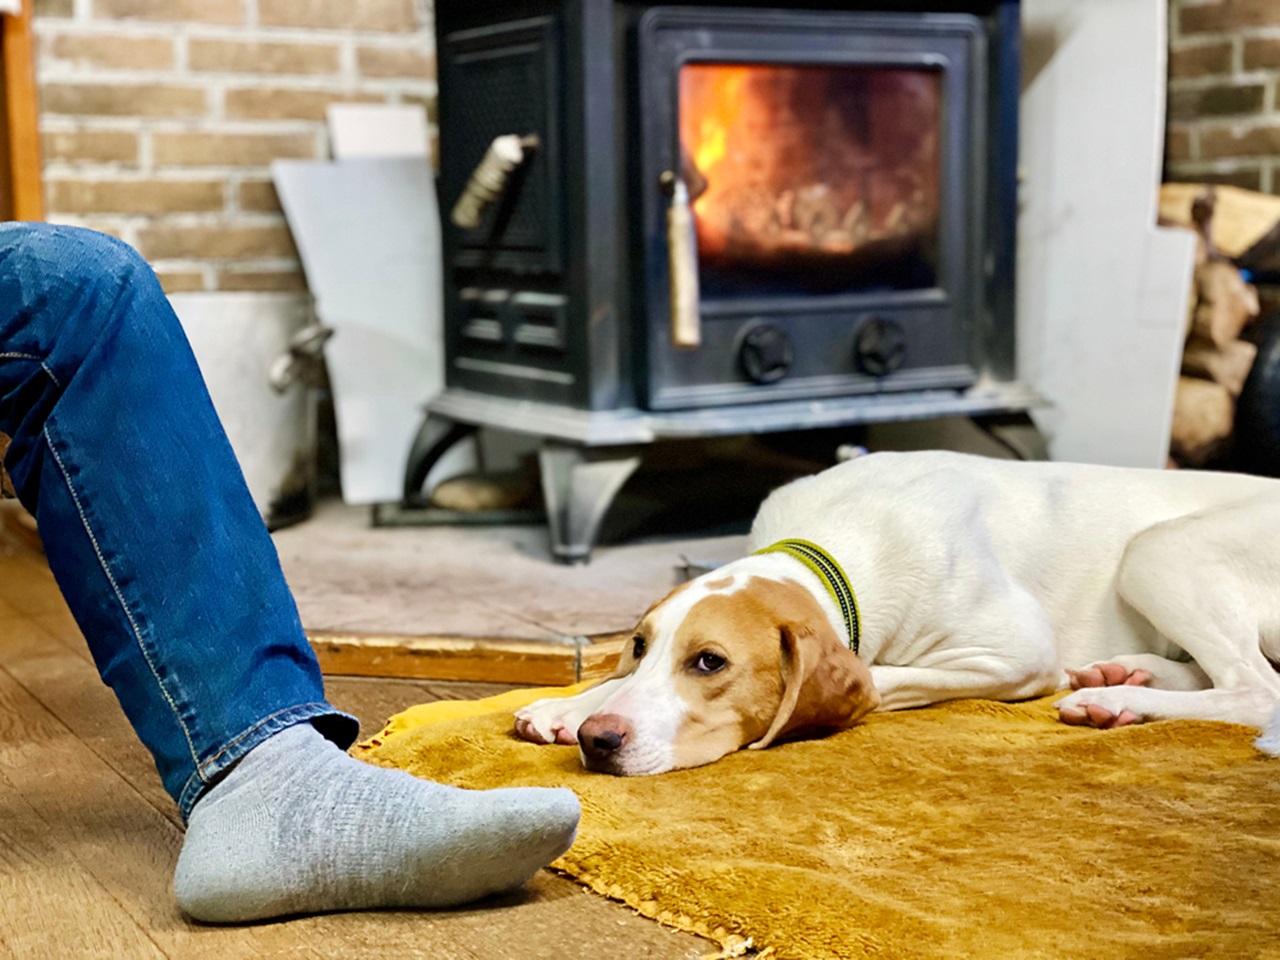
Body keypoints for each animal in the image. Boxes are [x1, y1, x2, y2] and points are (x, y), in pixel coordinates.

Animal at [512, 450, 1280, 773]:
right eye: (641, 644)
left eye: (710, 663)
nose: (599, 741)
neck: (834, 544)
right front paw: (571, 704)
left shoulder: (1015, 653)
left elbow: (880, 677)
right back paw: (1118, 682)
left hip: (1159, 551)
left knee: (1255, 689)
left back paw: (1123, 697)